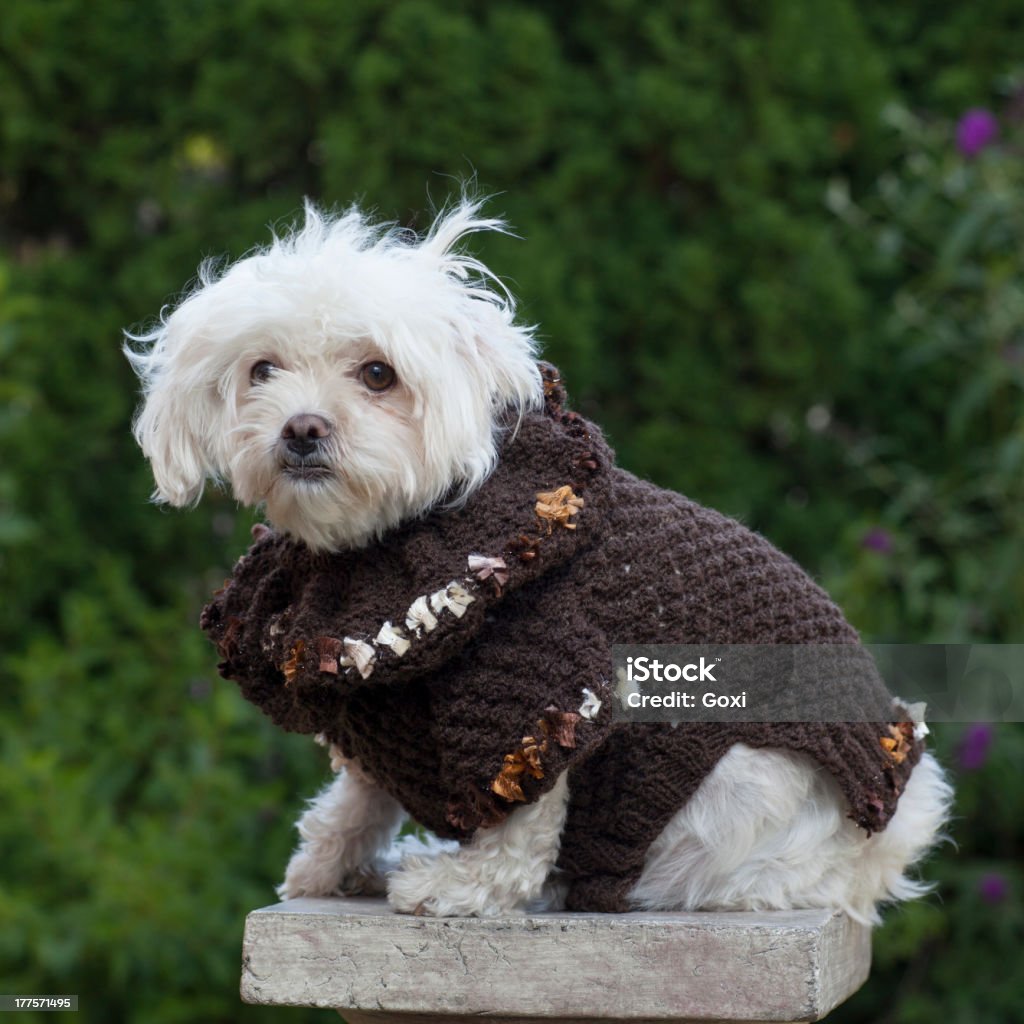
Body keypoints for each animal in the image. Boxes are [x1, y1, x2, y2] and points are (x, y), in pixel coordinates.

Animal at [128, 197, 950, 921]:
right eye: (261, 371)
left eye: (377, 374)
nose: (301, 429)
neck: (388, 544)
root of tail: (879, 846)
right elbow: (362, 796)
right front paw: (329, 863)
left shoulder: (538, 686)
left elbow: (518, 815)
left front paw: (461, 890)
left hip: (722, 786)